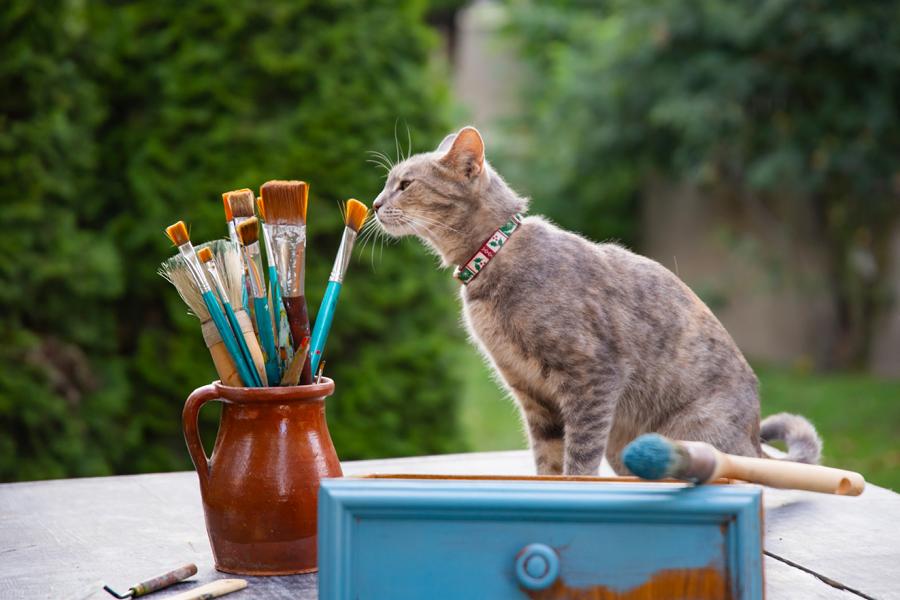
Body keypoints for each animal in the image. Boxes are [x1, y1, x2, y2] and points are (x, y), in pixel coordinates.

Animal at [372, 125, 824, 474]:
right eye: (386, 183)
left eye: (405, 184)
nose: (374, 203)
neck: (492, 255)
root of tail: (754, 441)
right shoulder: (533, 398)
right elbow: (548, 462)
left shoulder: (593, 376)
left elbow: (579, 460)